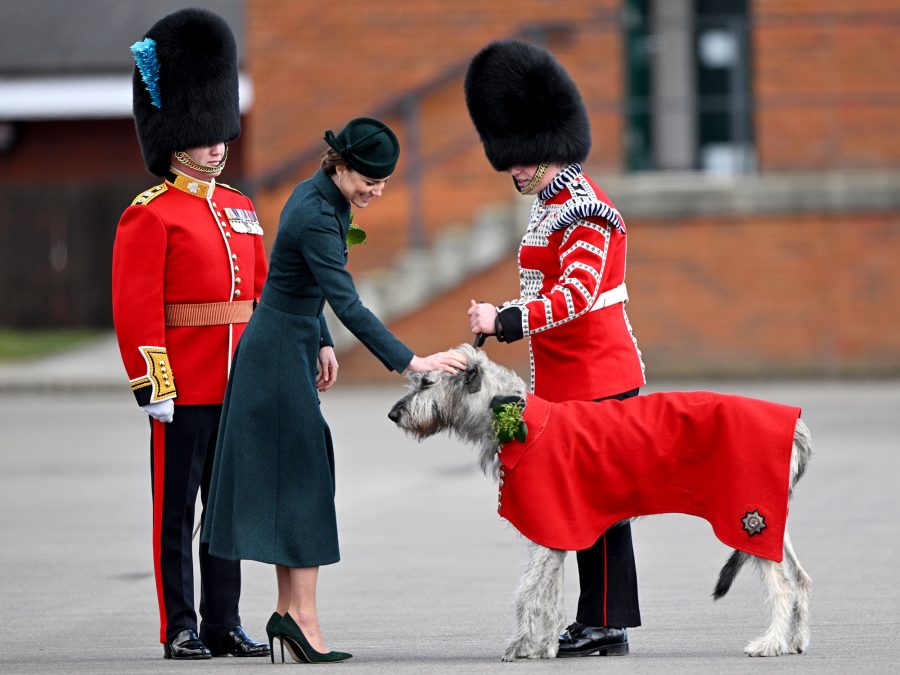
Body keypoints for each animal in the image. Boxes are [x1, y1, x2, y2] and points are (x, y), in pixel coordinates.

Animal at [390, 346, 812, 664]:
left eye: (426, 382)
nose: (394, 414)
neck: (516, 418)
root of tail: (796, 424)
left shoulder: (548, 524)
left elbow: (527, 593)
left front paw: (520, 646)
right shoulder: (553, 532)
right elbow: (549, 595)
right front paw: (544, 646)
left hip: (748, 518)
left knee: (782, 586)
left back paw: (770, 643)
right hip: (773, 523)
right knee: (800, 579)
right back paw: (796, 640)